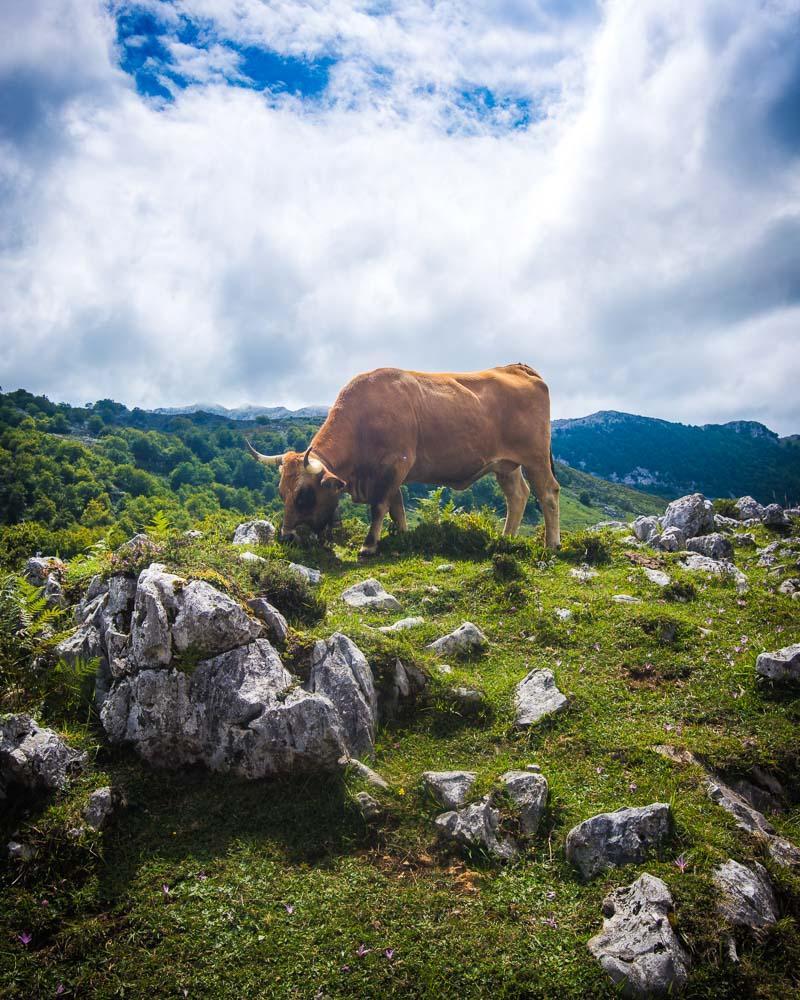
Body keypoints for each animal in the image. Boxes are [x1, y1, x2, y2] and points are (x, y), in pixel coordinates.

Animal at [247, 366, 560, 556]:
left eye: (304, 495)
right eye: (281, 493)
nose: (286, 537)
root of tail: (515, 367)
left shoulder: (394, 465)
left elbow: (379, 507)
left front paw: (369, 546)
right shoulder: (391, 475)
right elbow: (397, 509)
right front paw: (404, 538)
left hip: (535, 458)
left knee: (548, 493)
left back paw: (552, 544)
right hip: (506, 465)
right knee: (517, 496)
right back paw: (505, 540)